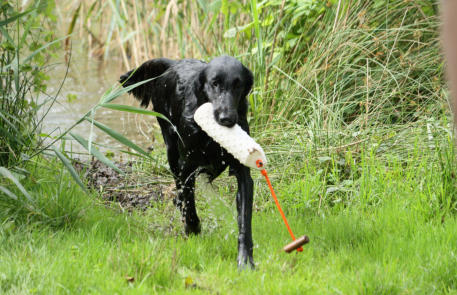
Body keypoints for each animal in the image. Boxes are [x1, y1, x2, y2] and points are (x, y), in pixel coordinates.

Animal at [119, 55, 255, 268]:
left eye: (238, 85)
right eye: (214, 83)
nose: (226, 118)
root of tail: (174, 63)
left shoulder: (243, 172)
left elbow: (244, 218)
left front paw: (245, 258)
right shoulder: (186, 167)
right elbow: (190, 204)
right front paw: (193, 229)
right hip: (171, 150)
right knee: (180, 187)